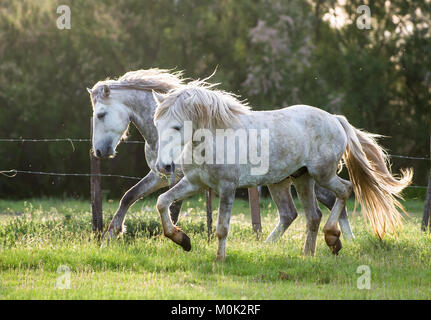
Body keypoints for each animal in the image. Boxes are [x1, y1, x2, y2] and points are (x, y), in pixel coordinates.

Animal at [88, 68, 354, 242]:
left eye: (100, 114)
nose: (99, 151)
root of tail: (334, 118)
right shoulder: (160, 175)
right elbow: (130, 196)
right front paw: (111, 234)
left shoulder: (178, 177)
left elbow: (172, 207)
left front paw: (173, 238)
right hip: (285, 180)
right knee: (295, 213)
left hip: (314, 175)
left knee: (336, 197)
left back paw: (344, 239)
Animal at [154, 80, 414, 260]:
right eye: (157, 124)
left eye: (177, 127)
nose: (163, 166)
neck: (214, 138)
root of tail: (335, 119)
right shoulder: (195, 183)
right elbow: (162, 201)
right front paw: (182, 240)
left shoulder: (227, 188)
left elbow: (221, 228)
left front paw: (219, 259)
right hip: (298, 179)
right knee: (309, 216)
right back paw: (306, 254)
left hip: (322, 175)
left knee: (345, 191)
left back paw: (332, 238)